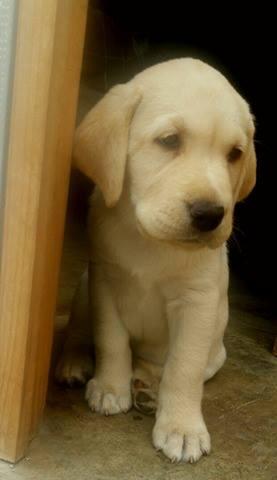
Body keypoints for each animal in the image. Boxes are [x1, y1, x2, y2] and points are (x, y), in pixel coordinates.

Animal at [55, 58, 254, 464]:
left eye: (235, 154)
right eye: (169, 140)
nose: (211, 215)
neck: (151, 240)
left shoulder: (198, 303)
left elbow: (183, 368)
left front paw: (181, 427)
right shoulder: (105, 284)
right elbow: (111, 340)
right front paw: (110, 387)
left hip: (216, 353)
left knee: (163, 366)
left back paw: (146, 387)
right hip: (83, 287)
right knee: (79, 331)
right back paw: (75, 363)